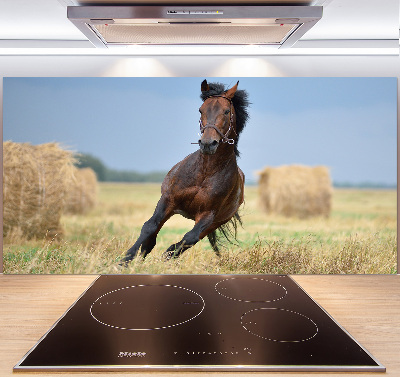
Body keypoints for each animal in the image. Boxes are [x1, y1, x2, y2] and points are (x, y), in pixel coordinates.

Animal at [120, 79, 248, 262]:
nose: (208, 143)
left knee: (191, 239)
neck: (205, 172)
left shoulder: (208, 214)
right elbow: (149, 227)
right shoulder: (168, 200)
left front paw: (166, 255)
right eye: (201, 110)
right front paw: (126, 260)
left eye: (226, 111)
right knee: (152, 237)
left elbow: (189, 238)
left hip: (215, 223)